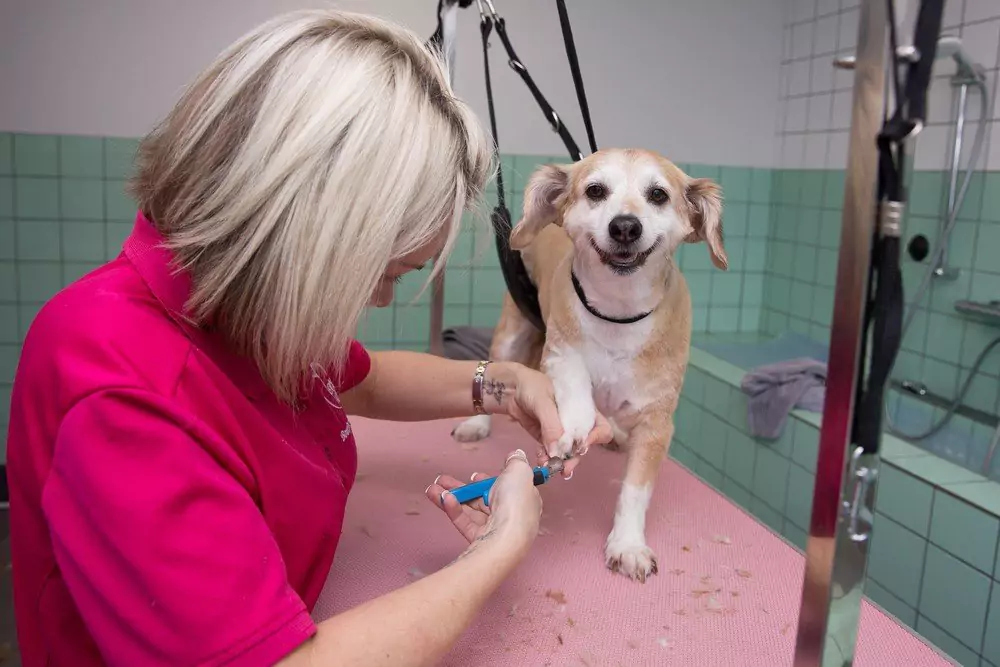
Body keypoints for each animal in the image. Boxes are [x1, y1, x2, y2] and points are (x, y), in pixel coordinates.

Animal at [454, 146, 728, 580]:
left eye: (658, 195)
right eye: (596, 190)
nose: (625, 227)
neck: (618, 313)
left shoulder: (657, 424)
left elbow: (634, 491)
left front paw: (627, 545)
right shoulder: (559, 353)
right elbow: (575, 382)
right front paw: (574, 427)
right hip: (512, 333)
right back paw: (477, 424)